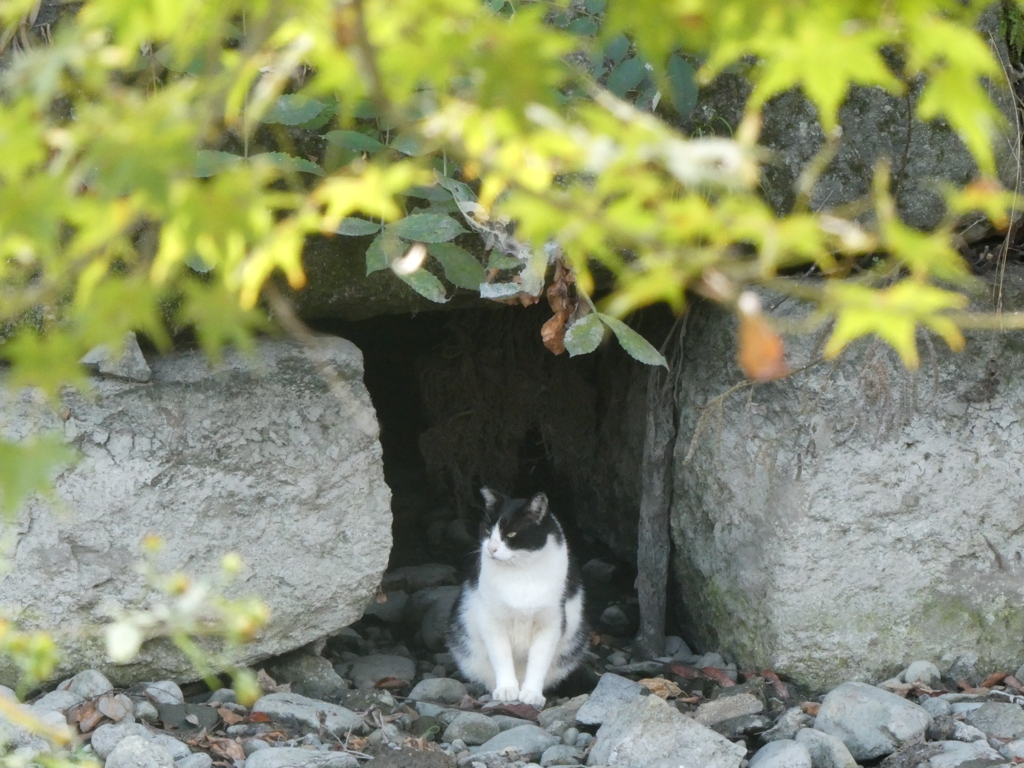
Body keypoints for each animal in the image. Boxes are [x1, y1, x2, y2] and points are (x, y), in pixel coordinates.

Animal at [446, 487, 589, 708]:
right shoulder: (491, 620)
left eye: (511, 533)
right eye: (487, 532)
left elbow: (539, 660)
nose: (491, 548)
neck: (520, 573)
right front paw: (506, 690)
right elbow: (501, 655)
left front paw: (532, 694)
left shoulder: (552, 622)